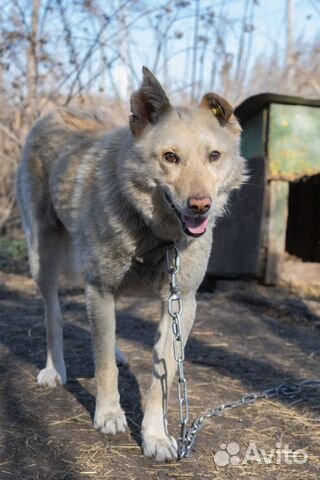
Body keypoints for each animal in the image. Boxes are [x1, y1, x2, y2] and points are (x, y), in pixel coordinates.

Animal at [15, 65, 248, 460]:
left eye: (214, 156)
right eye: (170, 157)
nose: (200, 205)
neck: (156, 233)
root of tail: (55, 111)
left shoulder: (180, 303)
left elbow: (161, 379)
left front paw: (156, 436)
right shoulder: (100, 288)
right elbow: (104, 366)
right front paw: (109, 415)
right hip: (42, 258)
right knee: (53, 316)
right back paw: (54, 369)